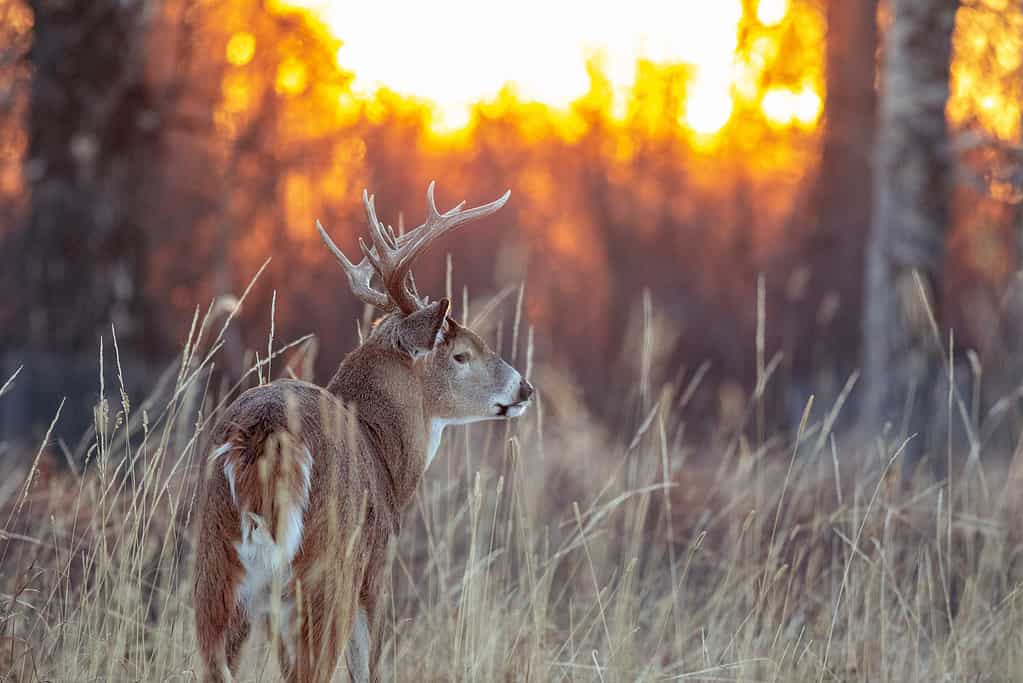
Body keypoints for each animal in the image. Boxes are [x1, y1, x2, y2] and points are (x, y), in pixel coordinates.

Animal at [192, 183, 531, 683]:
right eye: (462, 354)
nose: (524, 387)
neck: (384, 453)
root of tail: (266, 438)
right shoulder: (375, 572)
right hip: (324, 575)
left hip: (215, 577)